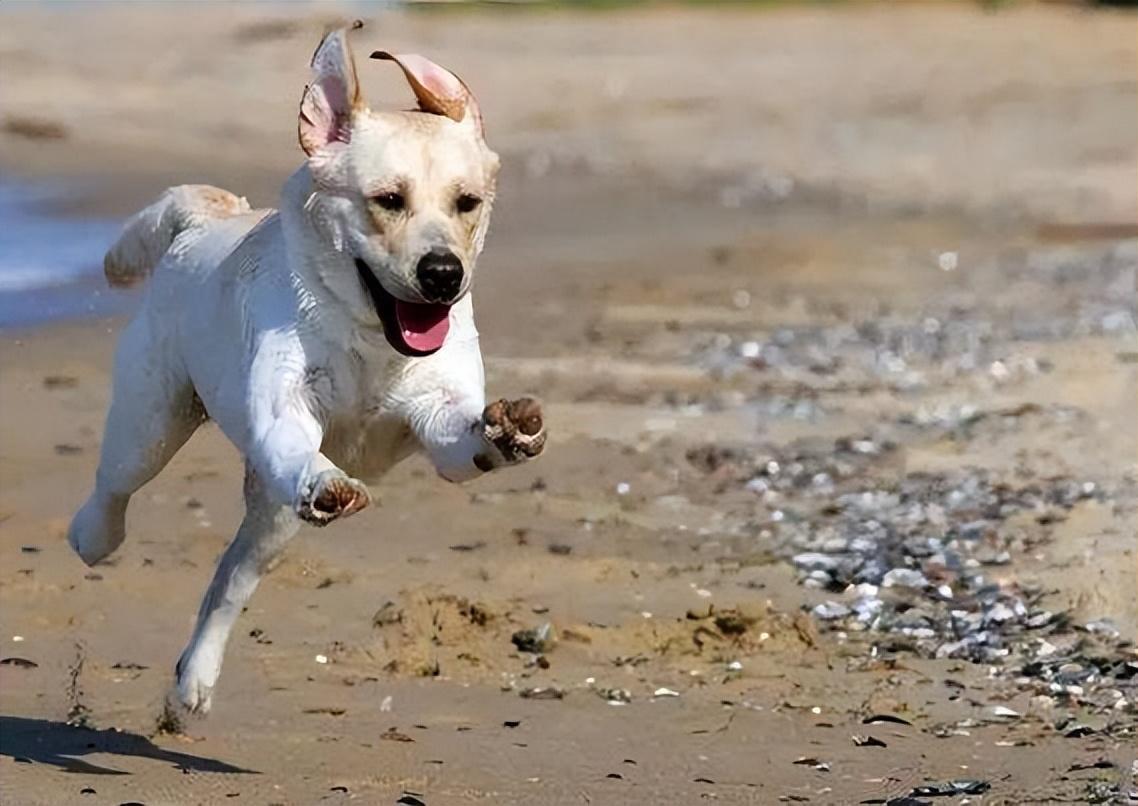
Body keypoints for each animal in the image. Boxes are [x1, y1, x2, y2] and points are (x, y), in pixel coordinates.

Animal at [67, 23, 545, 714]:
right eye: (388, 201)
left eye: (467, 203)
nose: (443, 274)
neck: (371, 341)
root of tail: (208, 217)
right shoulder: (282, 410)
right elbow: (300, 448)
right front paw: (327, 480)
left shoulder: (440, 420)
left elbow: (469, 435)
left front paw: (511, 427)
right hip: (151, 425)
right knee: (115, 487)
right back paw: (93, 538)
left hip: (271, 518)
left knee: (230, 579)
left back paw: (192, 681)